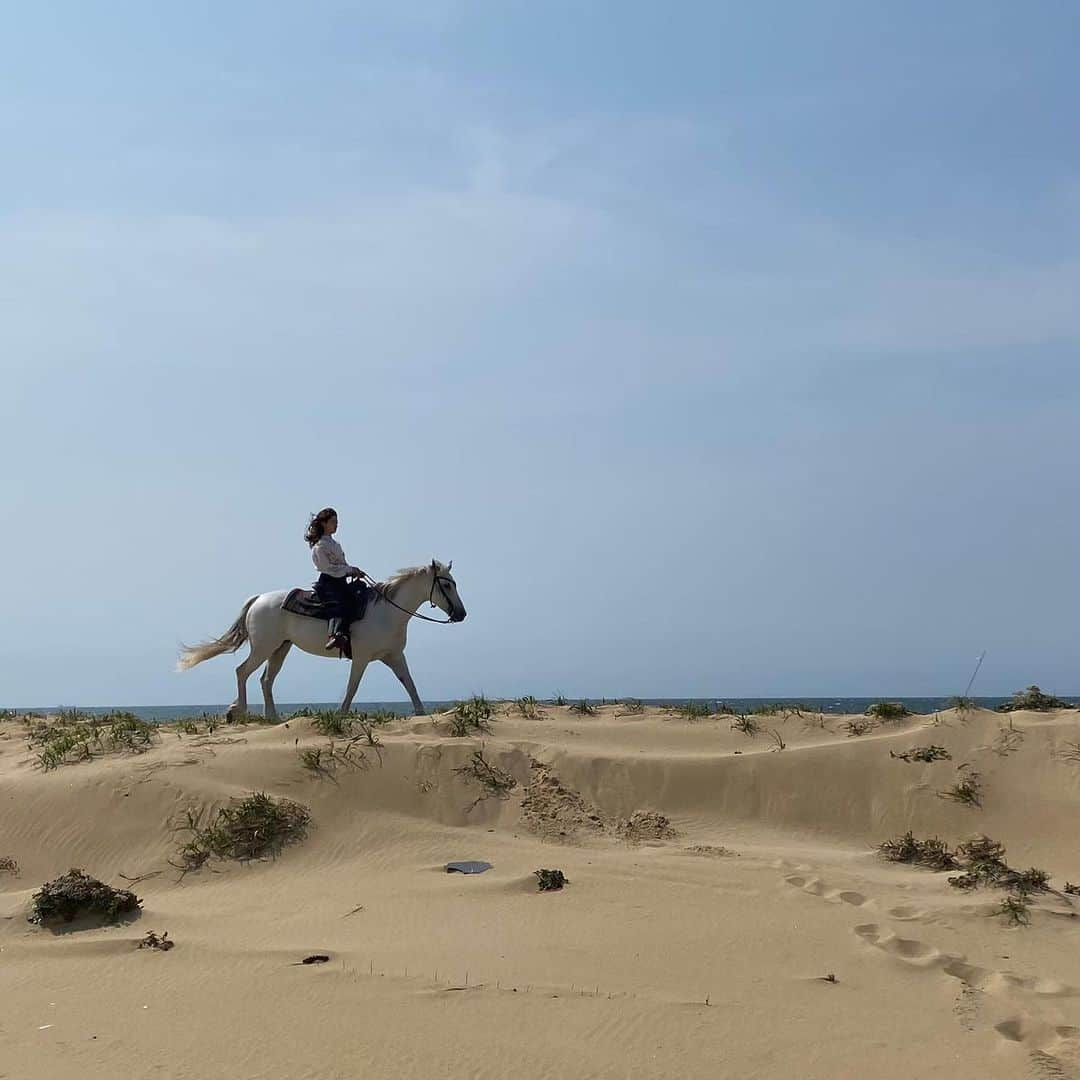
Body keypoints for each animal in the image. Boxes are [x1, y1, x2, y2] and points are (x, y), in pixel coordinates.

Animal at [176, 561, 464, 721]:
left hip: (280, 649)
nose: (461, 614)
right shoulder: (361, 658)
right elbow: (352, 688)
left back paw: (272, 717)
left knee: (266, 679)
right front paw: (341, 715)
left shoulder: (394, 656)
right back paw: (239, 711)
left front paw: (421, 714)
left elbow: (410, 684)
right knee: (242, 671)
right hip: (264, 647)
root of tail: (258, 599)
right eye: (447, 585)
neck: (387, 611)